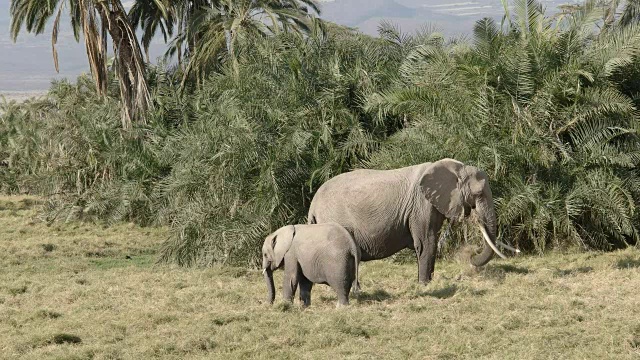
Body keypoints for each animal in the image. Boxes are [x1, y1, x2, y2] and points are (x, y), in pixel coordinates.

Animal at [308, 159, 508, 286]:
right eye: (478, 194)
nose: (471, 254)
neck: (456, 168)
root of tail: (313, 204)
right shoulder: (421, 206)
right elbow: (427, 243)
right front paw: (424, 285)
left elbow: (431, 241)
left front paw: (428, 283)